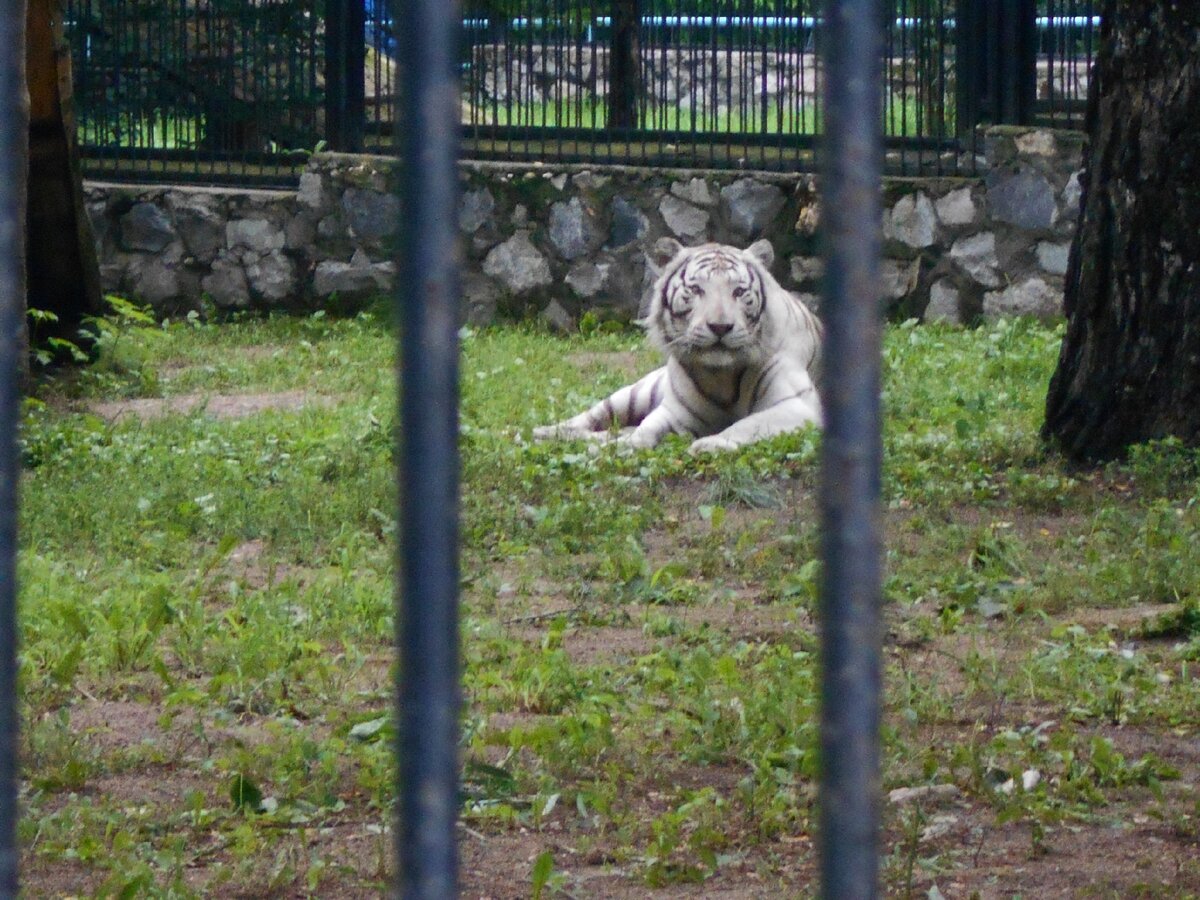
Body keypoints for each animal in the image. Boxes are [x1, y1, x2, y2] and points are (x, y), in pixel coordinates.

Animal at [535, 237, 825, 453]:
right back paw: (541, 432)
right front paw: (620, 447)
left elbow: (748, 424)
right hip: (631, 394)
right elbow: (646, 430)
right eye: (696, 290)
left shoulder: (798, 406)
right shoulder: (675, 412)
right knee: (586, 420)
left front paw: (710, 444)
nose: (720, 327)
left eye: (739, 292)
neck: (721, 376)